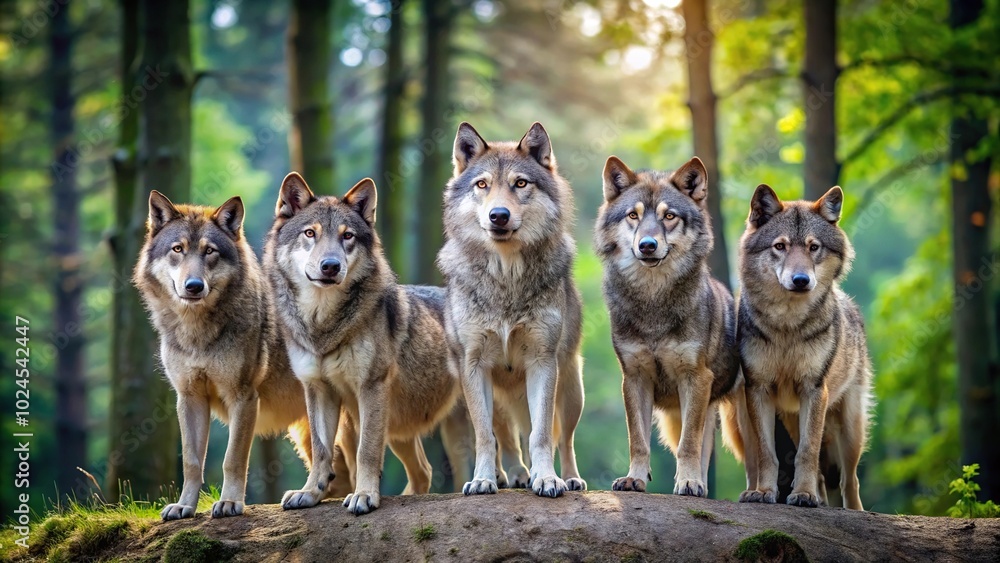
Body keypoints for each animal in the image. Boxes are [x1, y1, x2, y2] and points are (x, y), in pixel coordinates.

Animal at [134, 191, 312, 521]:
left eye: (210, 251)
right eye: (178, 249)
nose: (194, 286)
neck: (197, 334)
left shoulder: (243, 398)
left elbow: (233, 458)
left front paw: (230, 502)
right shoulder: (189, 398)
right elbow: (191, 462)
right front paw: (184, 506)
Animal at [266, 173, 461, 515]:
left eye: (347, 236)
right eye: (310, 233)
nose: (331, 265)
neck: (324, 325)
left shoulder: (371, 388)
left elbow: (365, 451)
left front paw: (364, 496)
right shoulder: (318, 389)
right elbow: (321, 450)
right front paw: (310, 493)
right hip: (400, 429)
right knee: (424, 472)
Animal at [437, 122, 587, 498]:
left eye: (520, 183)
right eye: (482, 185)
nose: (499, 215)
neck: (506, 280)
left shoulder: (542, 361)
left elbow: (542, 434)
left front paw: (547, 479)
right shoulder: (473, 365)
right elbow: (485, 437)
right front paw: (482, 480)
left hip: (571, 389)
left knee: (564, 438)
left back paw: (567, 478)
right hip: (493, 396)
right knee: (504, 437)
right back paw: (512, 475)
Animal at [595, 156, 749, 497]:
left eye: (669, 216)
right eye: (633, 215)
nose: (647, 245)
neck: (654, 302)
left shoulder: (695, 377)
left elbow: (687, 444)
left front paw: (689, 483)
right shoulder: (634, 378)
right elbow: (638, 441)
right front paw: (634, 479)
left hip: (742, 420)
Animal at [737, 184, 873, 510]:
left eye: (813, 247)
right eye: (780, 246)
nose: (801, 279)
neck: (788, 326)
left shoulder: (814, 389)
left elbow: (808, 453)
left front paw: (804, 495)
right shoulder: (758, 389)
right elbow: (767, 453)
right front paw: (764, 492)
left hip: (850, 427)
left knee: (849, 479)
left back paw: (852, 510)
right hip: (788, 418)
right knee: (823, 474)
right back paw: (817, 499)